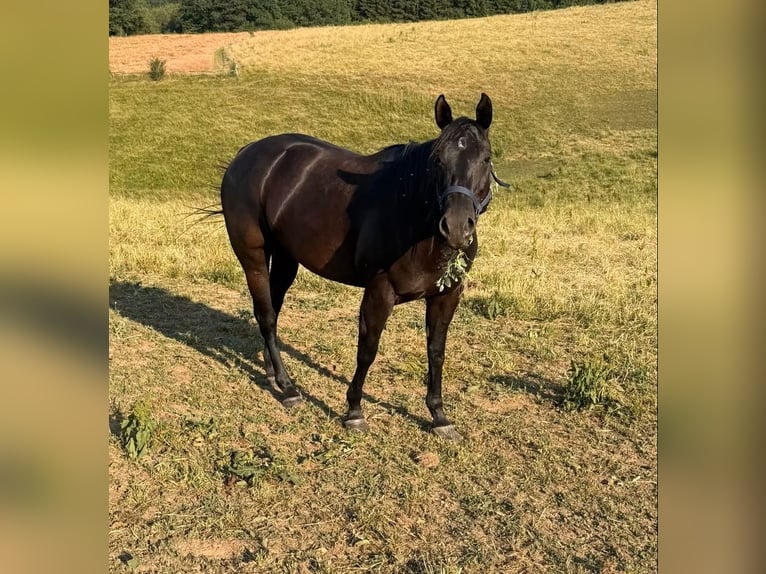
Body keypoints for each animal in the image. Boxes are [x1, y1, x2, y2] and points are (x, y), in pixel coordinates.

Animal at [220, 93, 509, 441]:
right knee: (265, 315)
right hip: (254, 258)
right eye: (439, 160)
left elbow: (436, 352)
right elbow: (368, 349)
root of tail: (245, 154)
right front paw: (354, 411)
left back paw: (273, 371)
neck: (412, 213)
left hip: (287, 259)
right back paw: (288, 388)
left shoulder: (447, 295)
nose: (455, 227)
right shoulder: (379, 292)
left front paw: (439, 416)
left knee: (272, 312)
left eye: (486, 159)